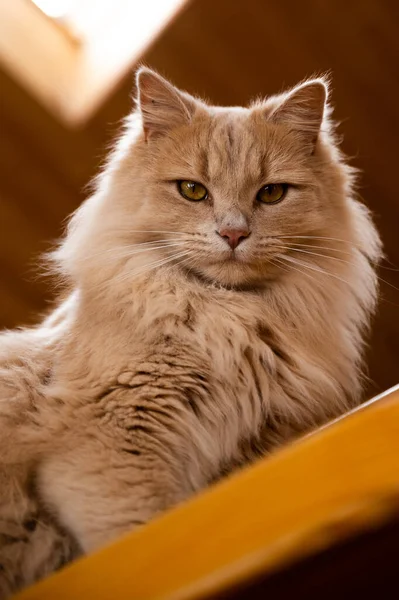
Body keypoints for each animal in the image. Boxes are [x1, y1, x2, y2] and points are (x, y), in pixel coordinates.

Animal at [0, 67, 382, 596]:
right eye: (193, 191)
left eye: (271, 193)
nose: (233, 234)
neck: (229, 317)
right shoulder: (110, 448)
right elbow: (143, 539)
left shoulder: (252, 454)